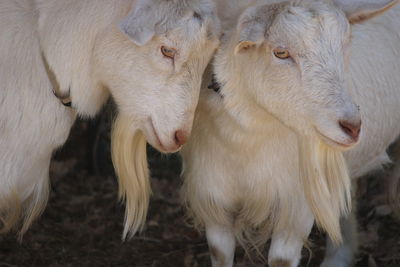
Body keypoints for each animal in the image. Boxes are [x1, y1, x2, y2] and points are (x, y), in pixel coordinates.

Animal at [182, 0, 400, 266]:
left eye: (345, 45)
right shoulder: (214, 200)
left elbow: (281, 259)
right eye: (281, 53)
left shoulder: (297, 209)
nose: (352, 126)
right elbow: (220, 253)